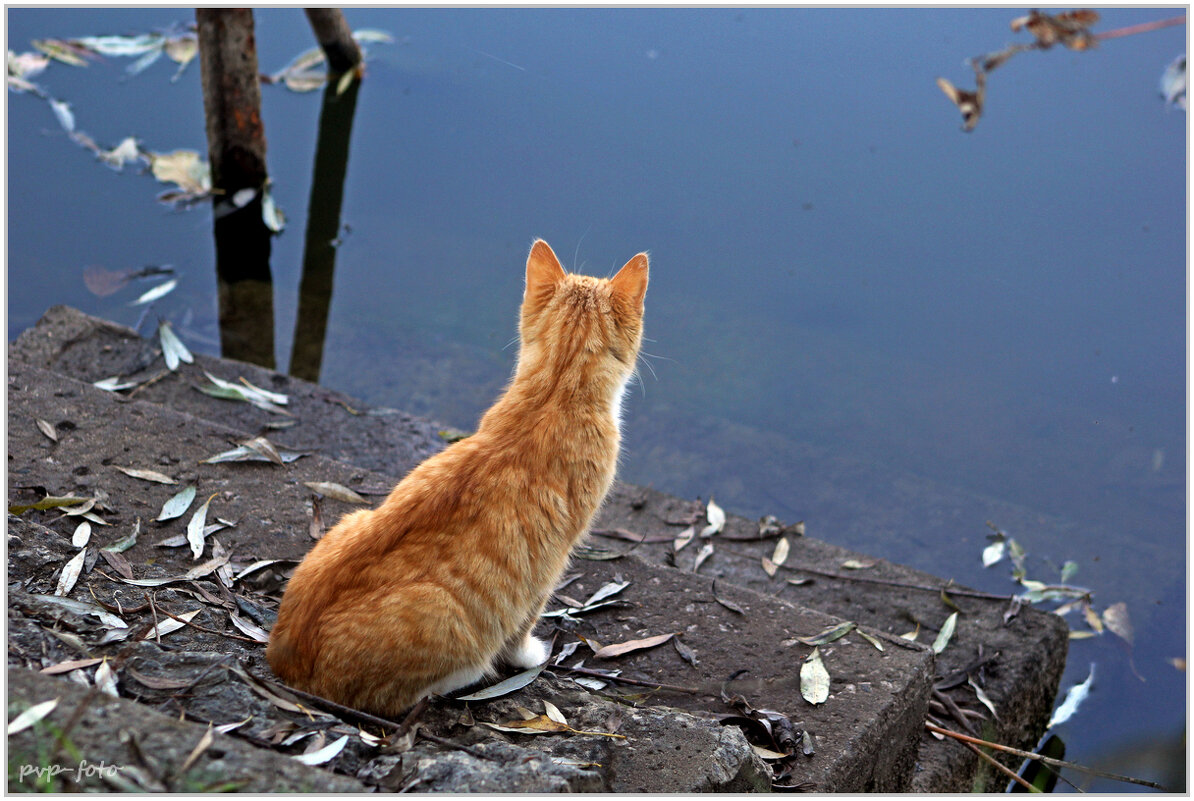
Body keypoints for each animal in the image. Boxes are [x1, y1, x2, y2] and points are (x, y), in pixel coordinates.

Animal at [267, 238, 649, 716]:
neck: (553, 391)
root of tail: (285, 663)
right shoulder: (552, 561)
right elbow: (523, 625)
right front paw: (529, 656)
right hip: (441, 610)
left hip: (351, 519)